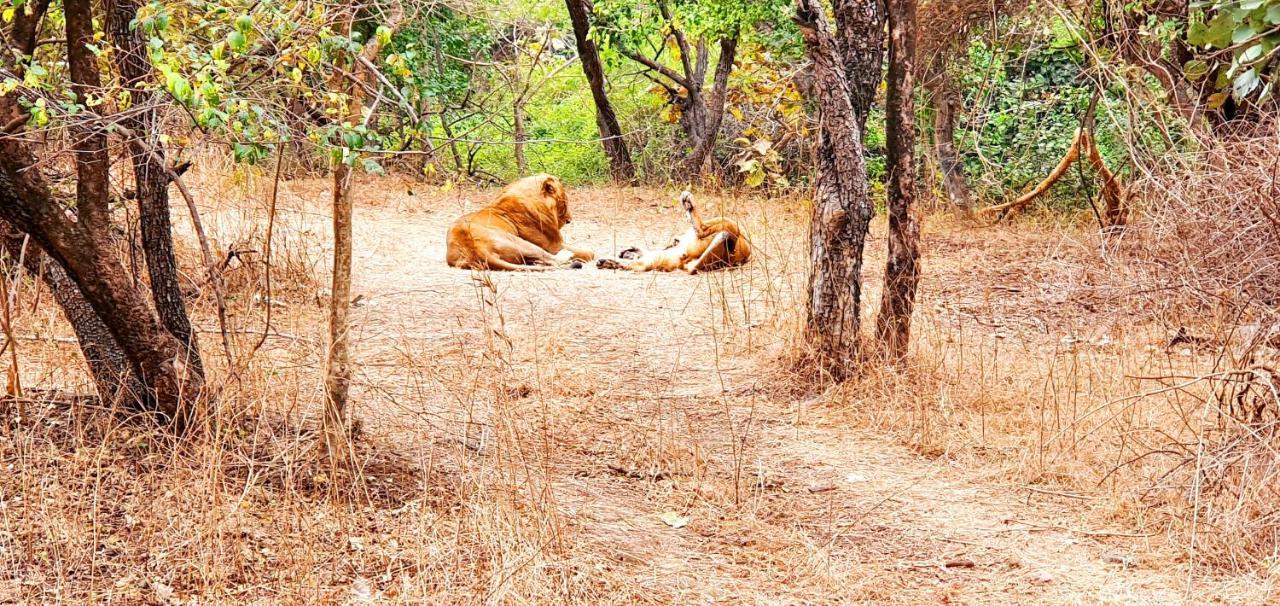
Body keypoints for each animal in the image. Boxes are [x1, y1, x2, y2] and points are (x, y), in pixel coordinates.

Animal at [445, 174, 593, 270]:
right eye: (564, 204)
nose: (569, 220)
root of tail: (474, 249)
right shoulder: (554, 245)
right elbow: (589, 253)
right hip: (523, 243)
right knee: (554, 260)